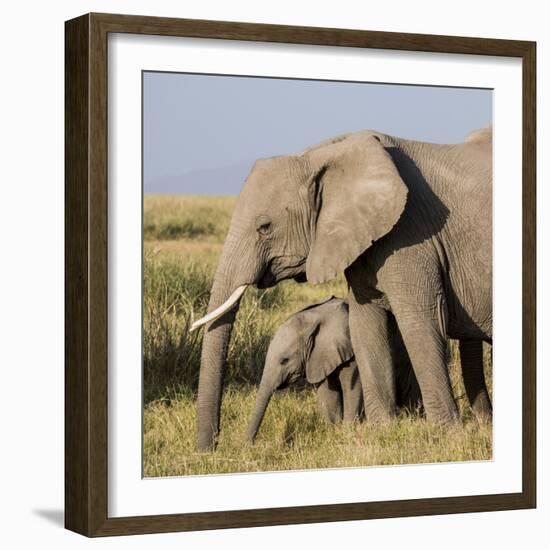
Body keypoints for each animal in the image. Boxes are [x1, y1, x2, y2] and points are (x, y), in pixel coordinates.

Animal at [248, 298, 420, 444]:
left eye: (284, 360)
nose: (251, 445)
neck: (316, 317)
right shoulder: (319, 356)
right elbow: (327, 392)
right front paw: (333, 430)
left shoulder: (351, 353)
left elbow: (353, 387)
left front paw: (348, 430)